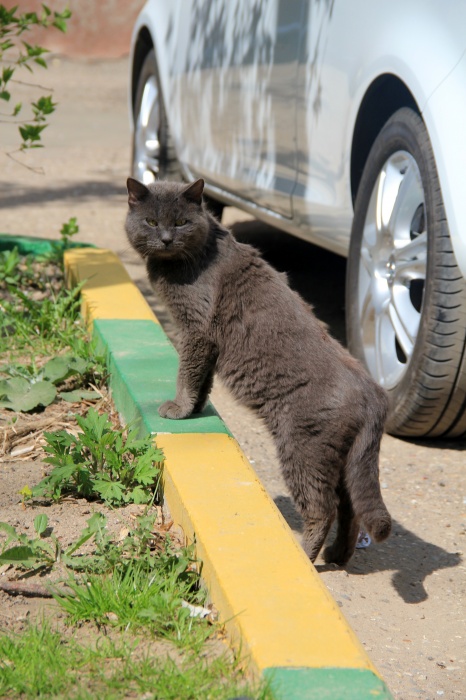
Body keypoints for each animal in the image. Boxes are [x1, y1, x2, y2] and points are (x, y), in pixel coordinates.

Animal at [125, 178, 392, 568]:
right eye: (151, 221)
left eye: (180, 222)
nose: (166, 239)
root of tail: (374, 392)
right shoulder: (209, 343)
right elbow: (202, 379)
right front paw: (195, 410)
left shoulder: (196, 330)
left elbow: (187, 372)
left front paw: (178, 408)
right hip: (344, 458)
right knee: (350, 508)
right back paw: (338, 556)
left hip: (303, 447)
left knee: (323, 509)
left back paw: (304, 558)